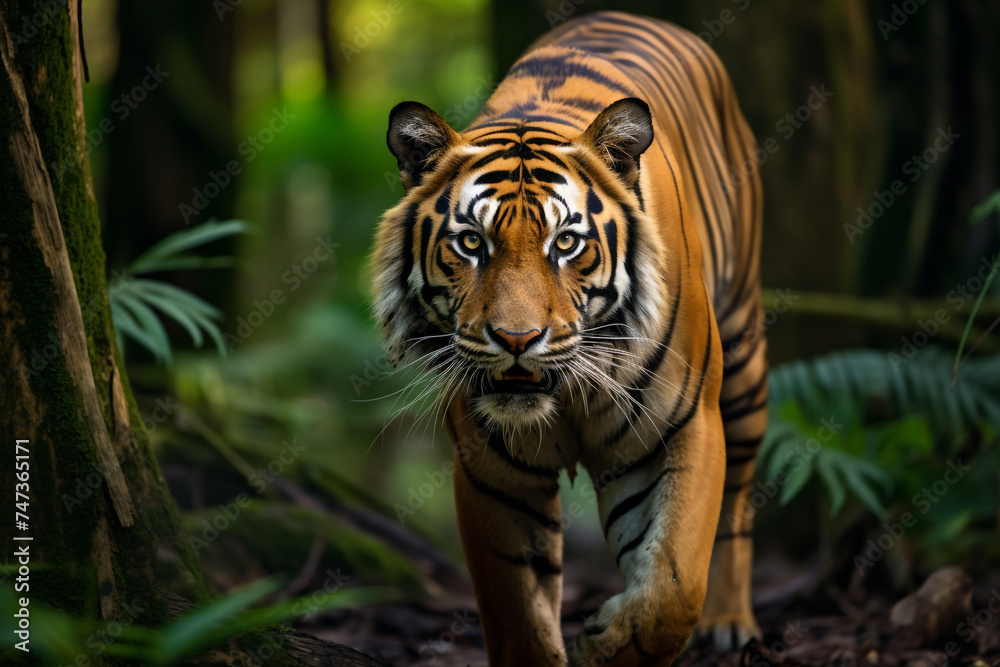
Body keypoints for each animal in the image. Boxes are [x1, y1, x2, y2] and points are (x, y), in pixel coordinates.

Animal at [371, 11, 767, 666]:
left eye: (566, 243)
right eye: (472, 242)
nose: (516, 338)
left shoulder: (683, 429)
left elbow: (673, 588)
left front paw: (603, 642)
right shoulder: (491, 469)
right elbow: (518, 613)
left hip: (742, 360)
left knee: (739, 496)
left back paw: (731, 623)